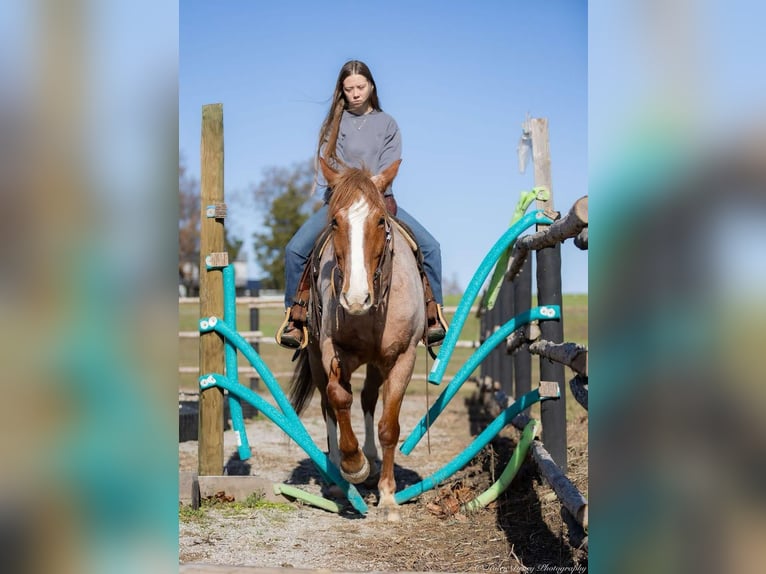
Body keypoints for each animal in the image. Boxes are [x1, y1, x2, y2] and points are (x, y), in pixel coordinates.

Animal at [288, 158, 426, 520]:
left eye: (380, 220)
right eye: (335, 221)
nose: (355, 298)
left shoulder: (402, 357)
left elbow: (389, 426)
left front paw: (388, 496)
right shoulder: (330, 352)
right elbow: (339, 399)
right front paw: (353, 465)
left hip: (377, 363)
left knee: (366, 399)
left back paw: (373, 459)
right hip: (318, 360)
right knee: (330, 407)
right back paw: (339, 475)